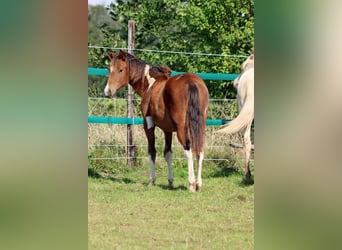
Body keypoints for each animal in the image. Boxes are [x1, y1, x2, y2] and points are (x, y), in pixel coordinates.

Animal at [104, 50, 208, 191]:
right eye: (109, 69)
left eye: (120, 70)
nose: (107, 92)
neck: (150, 85)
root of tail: (191, 82)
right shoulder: (168, 130)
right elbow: (168, 153)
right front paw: (170, 181)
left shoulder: (148, 124)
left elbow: (152, 152)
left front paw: (152, 180)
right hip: (200, 127)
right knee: (200, 150)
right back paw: (198, 184)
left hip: (182, 129)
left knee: (188, 150)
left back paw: (191, 184)